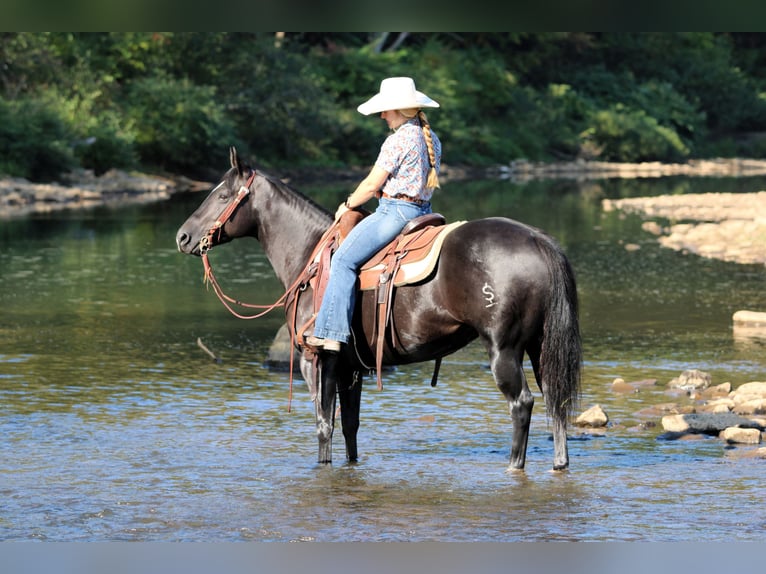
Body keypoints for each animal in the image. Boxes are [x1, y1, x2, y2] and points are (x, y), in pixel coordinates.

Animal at [176, 147, 582, 471]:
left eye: (223, 194)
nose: (182, 237)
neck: (310, 254)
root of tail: (537, 239)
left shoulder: (317, 360)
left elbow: (324, 425)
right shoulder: (350, 368)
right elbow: (350, 427)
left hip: (503, 349)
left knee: (522, 403)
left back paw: (515, 465)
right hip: (539, 346)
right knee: (555, 399)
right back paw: (559, 463)